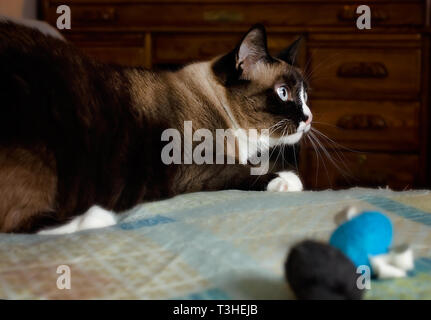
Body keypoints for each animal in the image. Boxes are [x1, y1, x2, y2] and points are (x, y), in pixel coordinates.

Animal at [0, 21, 310, 234]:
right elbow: (243, 170)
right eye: (283, 93)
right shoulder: (195, 169)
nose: (308, 117)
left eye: (305, 96)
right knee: (16, 223)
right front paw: (289, 180)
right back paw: (97, 218)